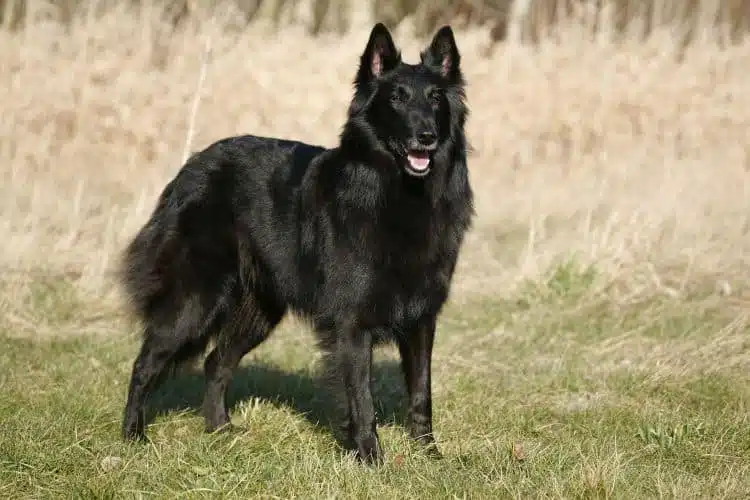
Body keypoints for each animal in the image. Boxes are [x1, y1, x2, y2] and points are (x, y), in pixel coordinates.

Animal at [122, 21, 476, 462]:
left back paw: (220, 430)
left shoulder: (422, 319)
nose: (425, 137)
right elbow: (362, 398)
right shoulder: (352, 323)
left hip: (259, 311)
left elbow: (422, 392)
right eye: (396, 98)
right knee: (144, 363)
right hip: (195, 302)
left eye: (435, 98)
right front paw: (371, 459)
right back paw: (133, 436)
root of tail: (191, 167)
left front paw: (429, 456)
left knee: (215, 362)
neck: (399, 194)